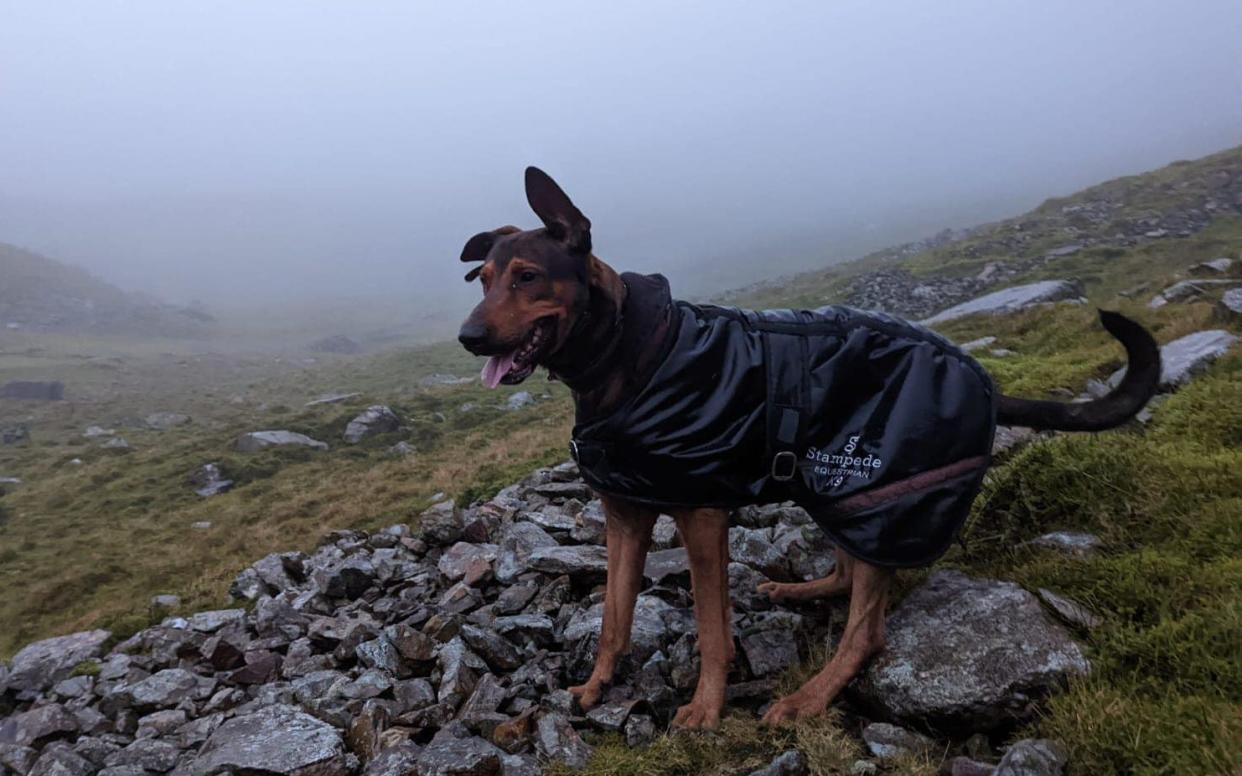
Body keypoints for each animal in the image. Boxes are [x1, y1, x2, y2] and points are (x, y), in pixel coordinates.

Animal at [459, 166, 1162, 730]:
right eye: (483, 279)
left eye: (527, 277)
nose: (468, 337)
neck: (627, 351)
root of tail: (988, 387)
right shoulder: (624, 514)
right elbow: (612, 618)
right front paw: (595, 686)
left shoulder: (701, 513)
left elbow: (711, 630)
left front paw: (706, 708)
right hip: (839, 493)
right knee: (848, 573)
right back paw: (799, 593)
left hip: (886, 498)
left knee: (868, 630)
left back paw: (809, 698)